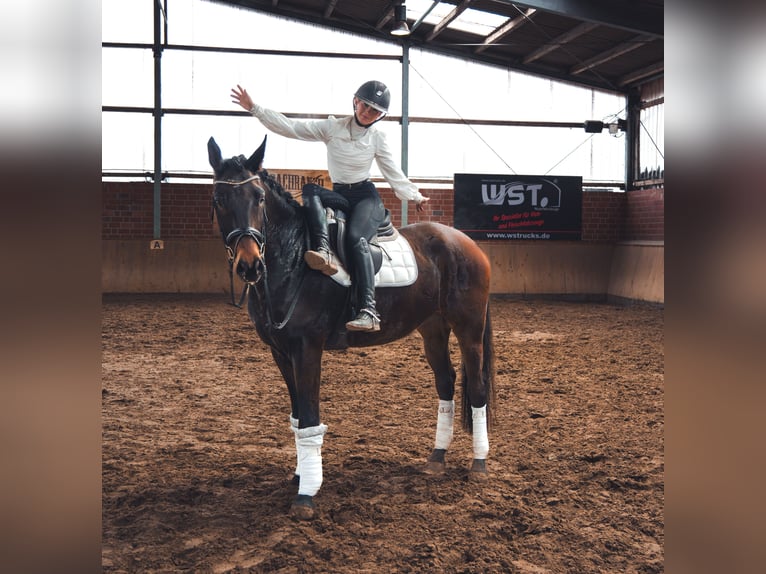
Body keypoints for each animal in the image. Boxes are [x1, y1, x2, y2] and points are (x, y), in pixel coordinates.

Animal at [208, 136, 498, 520]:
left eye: (258, 197)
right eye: (219, 199)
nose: (250, 265)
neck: (293, 258)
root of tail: (466, 242)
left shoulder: (307, 349)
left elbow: (310, 416)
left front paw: (306, 494)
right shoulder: (280, 352)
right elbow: (298, 417)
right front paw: (300, 475)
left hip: (469, 328)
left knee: (477, 387)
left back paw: (479, 463)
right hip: (432, 329)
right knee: (446, 383)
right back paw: (437, 458)